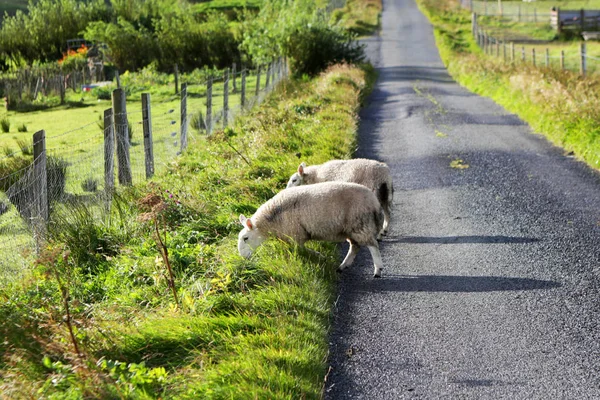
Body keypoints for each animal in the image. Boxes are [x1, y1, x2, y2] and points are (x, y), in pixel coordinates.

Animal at [239, 182, 384, 278]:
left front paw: (320, 256)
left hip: (361, 223)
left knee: (372, 246)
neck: (271, 220)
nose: (243, 257)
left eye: (246, 238)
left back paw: (377, 269)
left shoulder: (296, 235)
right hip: (351, 228)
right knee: (354, 247)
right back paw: (342, 266)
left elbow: (302, 250)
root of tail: (375, 202)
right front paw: (321, 256)